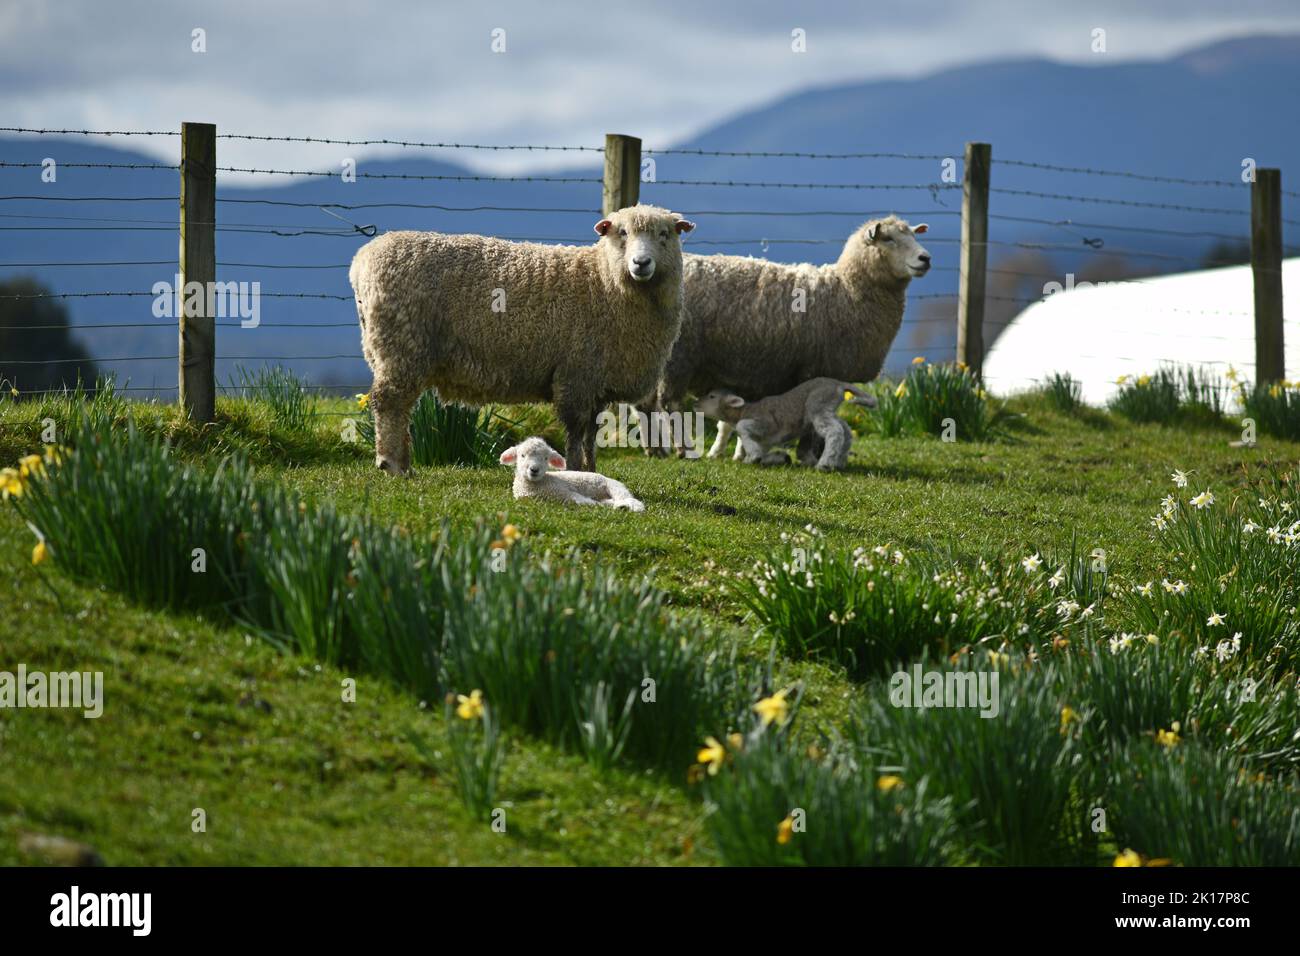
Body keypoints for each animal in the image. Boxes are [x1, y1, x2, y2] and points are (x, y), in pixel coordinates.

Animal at [345, 205, 691, 476]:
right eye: (622, 233)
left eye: (665, 234)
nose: (641, 263)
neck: (604, 281)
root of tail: (362, 260)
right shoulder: (576, 374)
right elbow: (576, 430)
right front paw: (576, 470)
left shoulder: (596, 379)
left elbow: (591, 432)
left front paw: (593, 471)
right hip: (401, 346)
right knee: (389, 402)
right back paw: (392, 464)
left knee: (400, 406)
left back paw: (404, 463)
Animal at [496, 437, 644, 512]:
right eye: (522, 455)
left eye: (545, 458)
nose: (534, 469)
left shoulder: (565, 491)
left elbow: (584, 502)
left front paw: (596, 505)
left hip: (614, 486)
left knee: (629, 499)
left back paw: (629, 507)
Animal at [655, 215, 930, 460]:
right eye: (889, 239)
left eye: (914, 235)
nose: (925, 258)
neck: (848, 290)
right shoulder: (814, 370)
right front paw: (808, 454)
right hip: (679, 357)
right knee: (671, 406)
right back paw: (684, 450)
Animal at [696, 379, 878, 473]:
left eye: (712, 396)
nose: (695, 403)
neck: (743, 411)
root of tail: (838, 383)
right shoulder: (765, 441)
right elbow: (762, 452)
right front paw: (774, 458)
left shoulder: (764, 422)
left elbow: (742, 427)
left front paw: (752, 457)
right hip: (827, 408)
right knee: (845, 429)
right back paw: (839, 461)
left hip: (817, 405)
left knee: (834, 430)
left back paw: (825, 463)